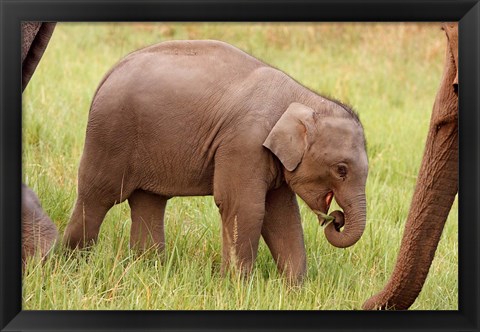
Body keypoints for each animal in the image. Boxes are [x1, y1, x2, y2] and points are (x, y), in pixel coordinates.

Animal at [63, 39, 370, 280]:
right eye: (341, 169)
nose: (336, 219)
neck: (303, 97)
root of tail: (110, 72)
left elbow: (282, 214)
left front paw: (295, 290)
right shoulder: (244, 144)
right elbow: (244, 206)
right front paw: (237, 288)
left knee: (148, 200)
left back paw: (148, 269)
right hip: (110, 133)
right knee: (98, 195)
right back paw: (71, 263)